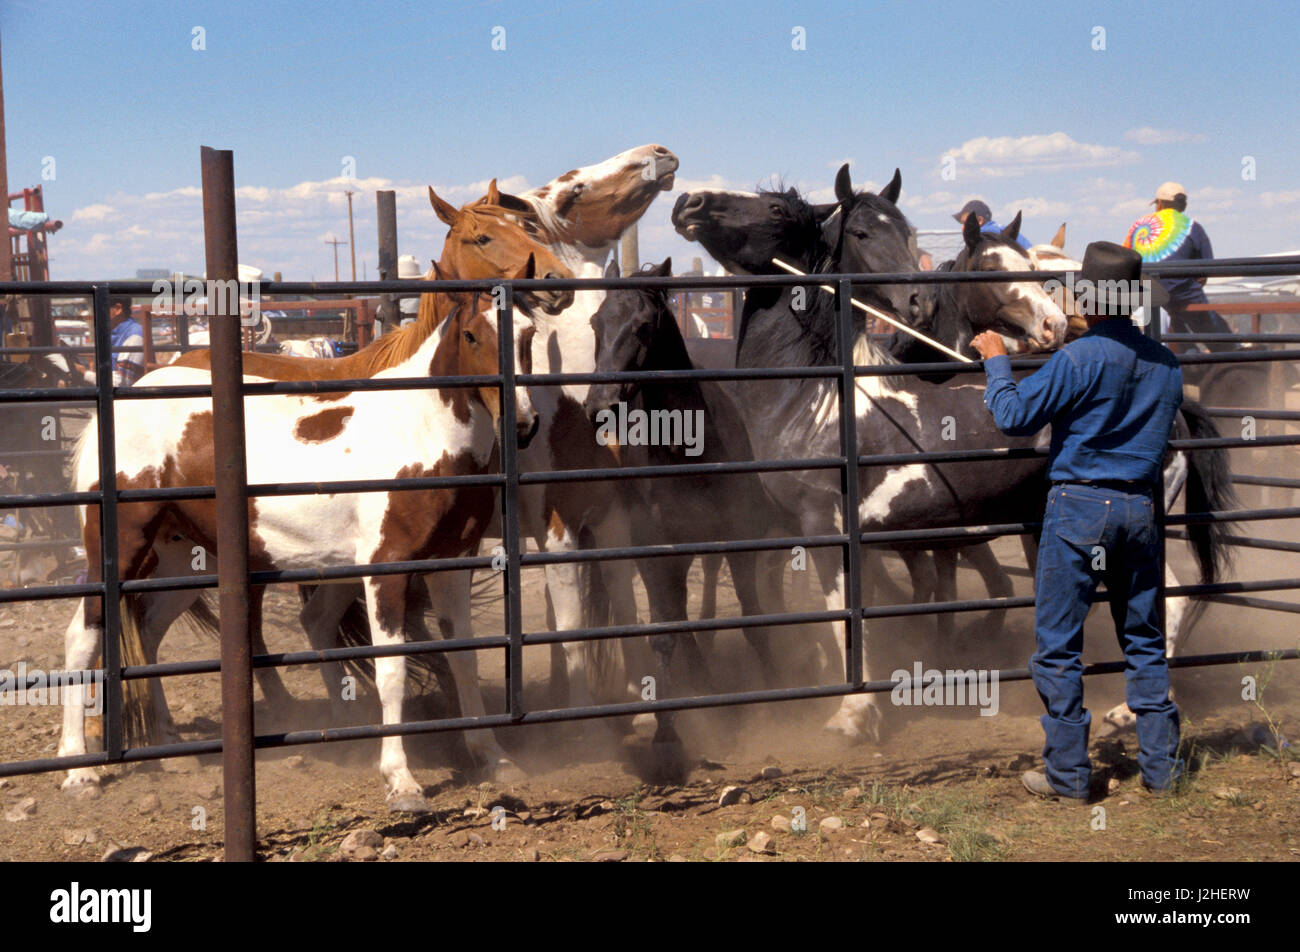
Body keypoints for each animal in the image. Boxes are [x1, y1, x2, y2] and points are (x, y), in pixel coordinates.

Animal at [59, 297, 538, 811]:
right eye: (471, 335)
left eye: (529, 333)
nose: (523, 423)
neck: (420, 433)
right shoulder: (385, 570)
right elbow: (392, 671)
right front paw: (401, 780)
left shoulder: (451, 566)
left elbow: (464, 659)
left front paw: (492, 756)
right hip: (119, 549)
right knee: (82, 636)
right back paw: (78, 767)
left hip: (181, 559)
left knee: (147, 634)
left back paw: (169, 746)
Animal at [676, 169, 1232, 738]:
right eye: (863, 233)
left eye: (772, 209)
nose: (687, 201)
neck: (821, 395)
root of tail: (1177, 407)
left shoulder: (827, 528)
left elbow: (846, 617)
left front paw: (853, 713)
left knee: (1173, 601)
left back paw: (1127, 709)